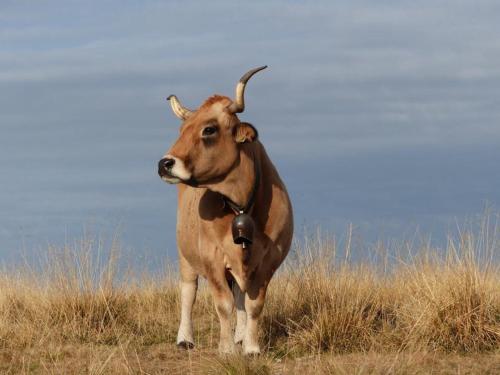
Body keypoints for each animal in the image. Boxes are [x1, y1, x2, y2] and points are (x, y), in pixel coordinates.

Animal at [157, 66, 292, 356]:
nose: (164, 163)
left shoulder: (268, 261)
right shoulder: (212, 259)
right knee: (188, 293)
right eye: (182, 129)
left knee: (241, 296)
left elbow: (252, 305)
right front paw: (226, 348)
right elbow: (223, 304)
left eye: (209, 129)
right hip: (186, 256)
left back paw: (240, 335)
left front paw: (250, 347)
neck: (241, 205)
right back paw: (185, 338)